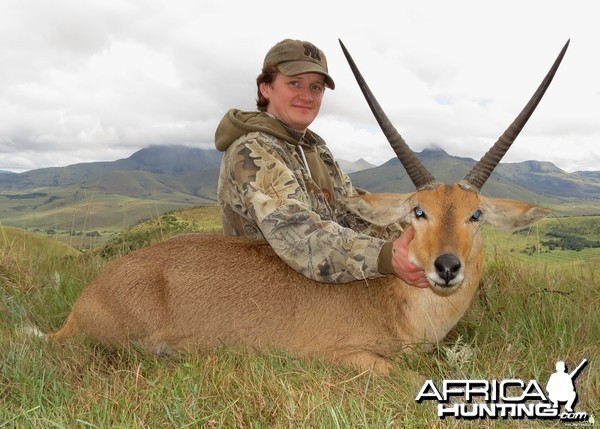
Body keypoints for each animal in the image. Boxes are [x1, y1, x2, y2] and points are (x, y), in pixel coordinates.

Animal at [43, 40, 568, 372]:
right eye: (418, 212)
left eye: (475, 214)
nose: (446, 267)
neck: (392, 300)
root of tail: (81, 306)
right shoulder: (345, 358)